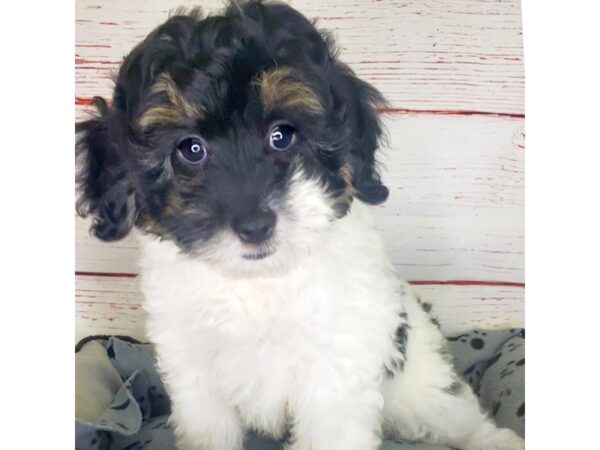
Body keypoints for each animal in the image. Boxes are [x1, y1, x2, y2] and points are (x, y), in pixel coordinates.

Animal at [76, 1, 524, 448]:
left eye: (281, 136)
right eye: (191, 149)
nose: (255, 226)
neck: (258, 281)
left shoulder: (336, 365)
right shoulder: (192, 362)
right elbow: (209, 425)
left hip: (419, 379)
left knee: (455, 411)